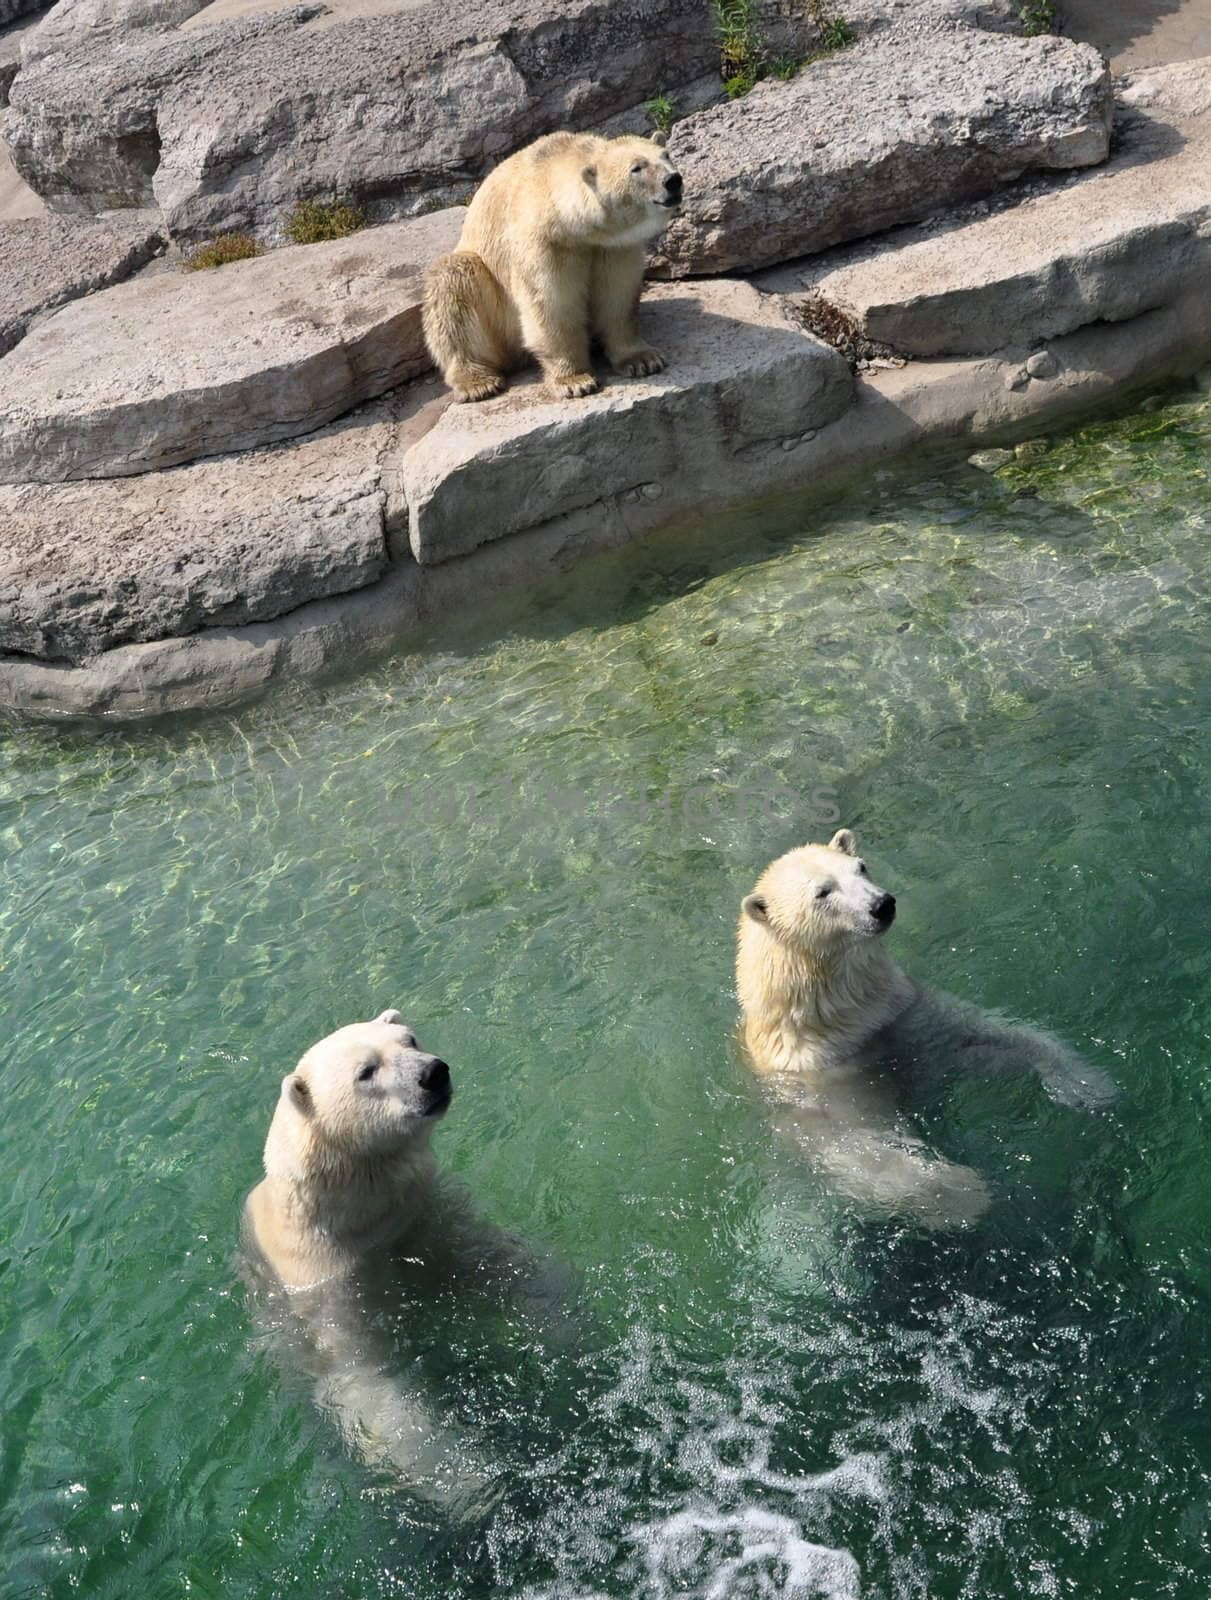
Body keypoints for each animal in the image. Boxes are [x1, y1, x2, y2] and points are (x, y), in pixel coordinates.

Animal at [422, 128, 681, 403]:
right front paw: (574, 380)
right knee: (451, 286)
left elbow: (617, 297)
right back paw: (478, 383)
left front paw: (643, 360)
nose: (673, 180)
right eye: (636, 168)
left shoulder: (614, 246)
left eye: (666, 155)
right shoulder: (544, 244)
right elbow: (550, 304)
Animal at [732, 832, 1107, 1228]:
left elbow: (985, 1037)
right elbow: (852, 1146)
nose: (881, 904)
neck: (838, 1017)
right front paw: (966, 1193)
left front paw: (1085, 1085)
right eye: (823, 892)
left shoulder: (896, 1013)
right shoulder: (816, 1075)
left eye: (861, 867)